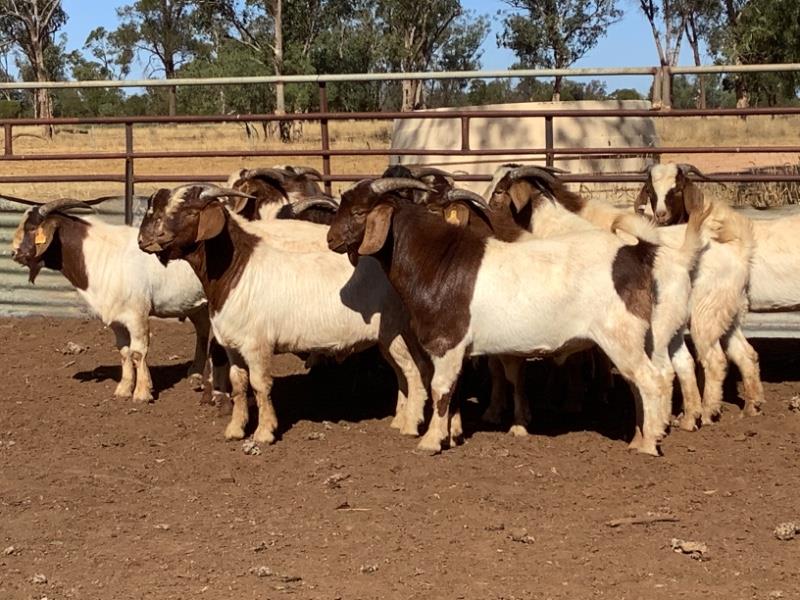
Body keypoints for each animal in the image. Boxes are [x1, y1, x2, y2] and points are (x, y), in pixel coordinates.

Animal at [8, 195, 211, 403]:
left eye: (32, 228)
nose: (13, 253)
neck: (103, 254)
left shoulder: (137, 313)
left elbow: (138, 352)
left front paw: (142, 393)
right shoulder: (116, 319)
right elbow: (124, 351)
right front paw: (123, 389)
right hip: (196, 305)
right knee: (203, 331)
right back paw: (195, 375)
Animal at [137, 183, 429, 443]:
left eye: (189, 212)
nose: (145, 240)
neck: (237, 269)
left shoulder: (257, 345)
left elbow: (260, 385)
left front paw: (265, 432)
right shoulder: (233, 345)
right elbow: (239, 384)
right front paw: (235, 429)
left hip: (397, 333)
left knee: (413, 373)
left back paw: (410, 426)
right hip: (387, 341)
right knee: (403, 375)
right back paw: (399, 419)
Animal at [327, 177, 700, 456]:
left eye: (358, 211)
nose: (331, 239)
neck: (437, 262)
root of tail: (638, 252)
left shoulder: (447, 341)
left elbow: (441, 388)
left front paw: (430, 441)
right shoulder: (458, 349)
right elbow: (456, 389)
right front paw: (452, 434)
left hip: (620, 336)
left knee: (651, 380)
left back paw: (649, 444)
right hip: (642, 338)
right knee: (644, 381)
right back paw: (640, 437)